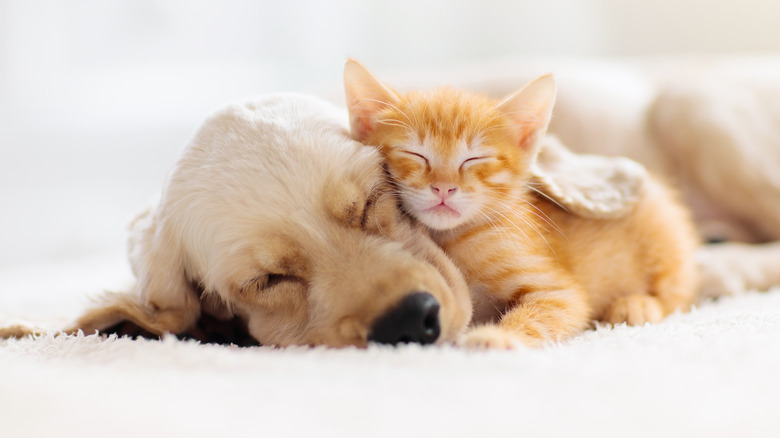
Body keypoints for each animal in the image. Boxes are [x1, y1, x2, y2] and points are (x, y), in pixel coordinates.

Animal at [344, 59, 696, 350]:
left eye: (474, 159)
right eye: (415, 154)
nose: (443, 187)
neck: (452, 239)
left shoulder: (557, 290)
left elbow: (545, 312)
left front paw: (497, 337)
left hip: (663, 236)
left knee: (679, 291)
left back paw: (638, 304)